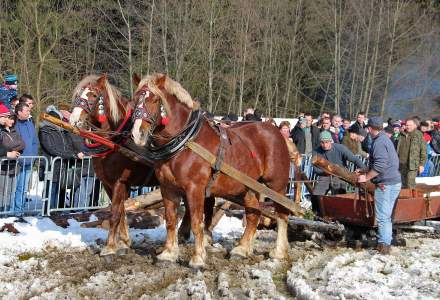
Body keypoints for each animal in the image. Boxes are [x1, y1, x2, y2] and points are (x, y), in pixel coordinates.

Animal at [131, 74, 292, 268]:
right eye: (134, 100)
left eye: (154, 100)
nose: (137, 134)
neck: (185, 142)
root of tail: (276, 132)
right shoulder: (167, 188)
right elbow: (170, 220)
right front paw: (168, 254)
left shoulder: (195, 189)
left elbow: (197, 222)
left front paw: (198, 258)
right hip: (249, 186)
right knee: (253, 213)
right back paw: (242, 249)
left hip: (276, 185)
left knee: (282, 214)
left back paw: (279, 251)